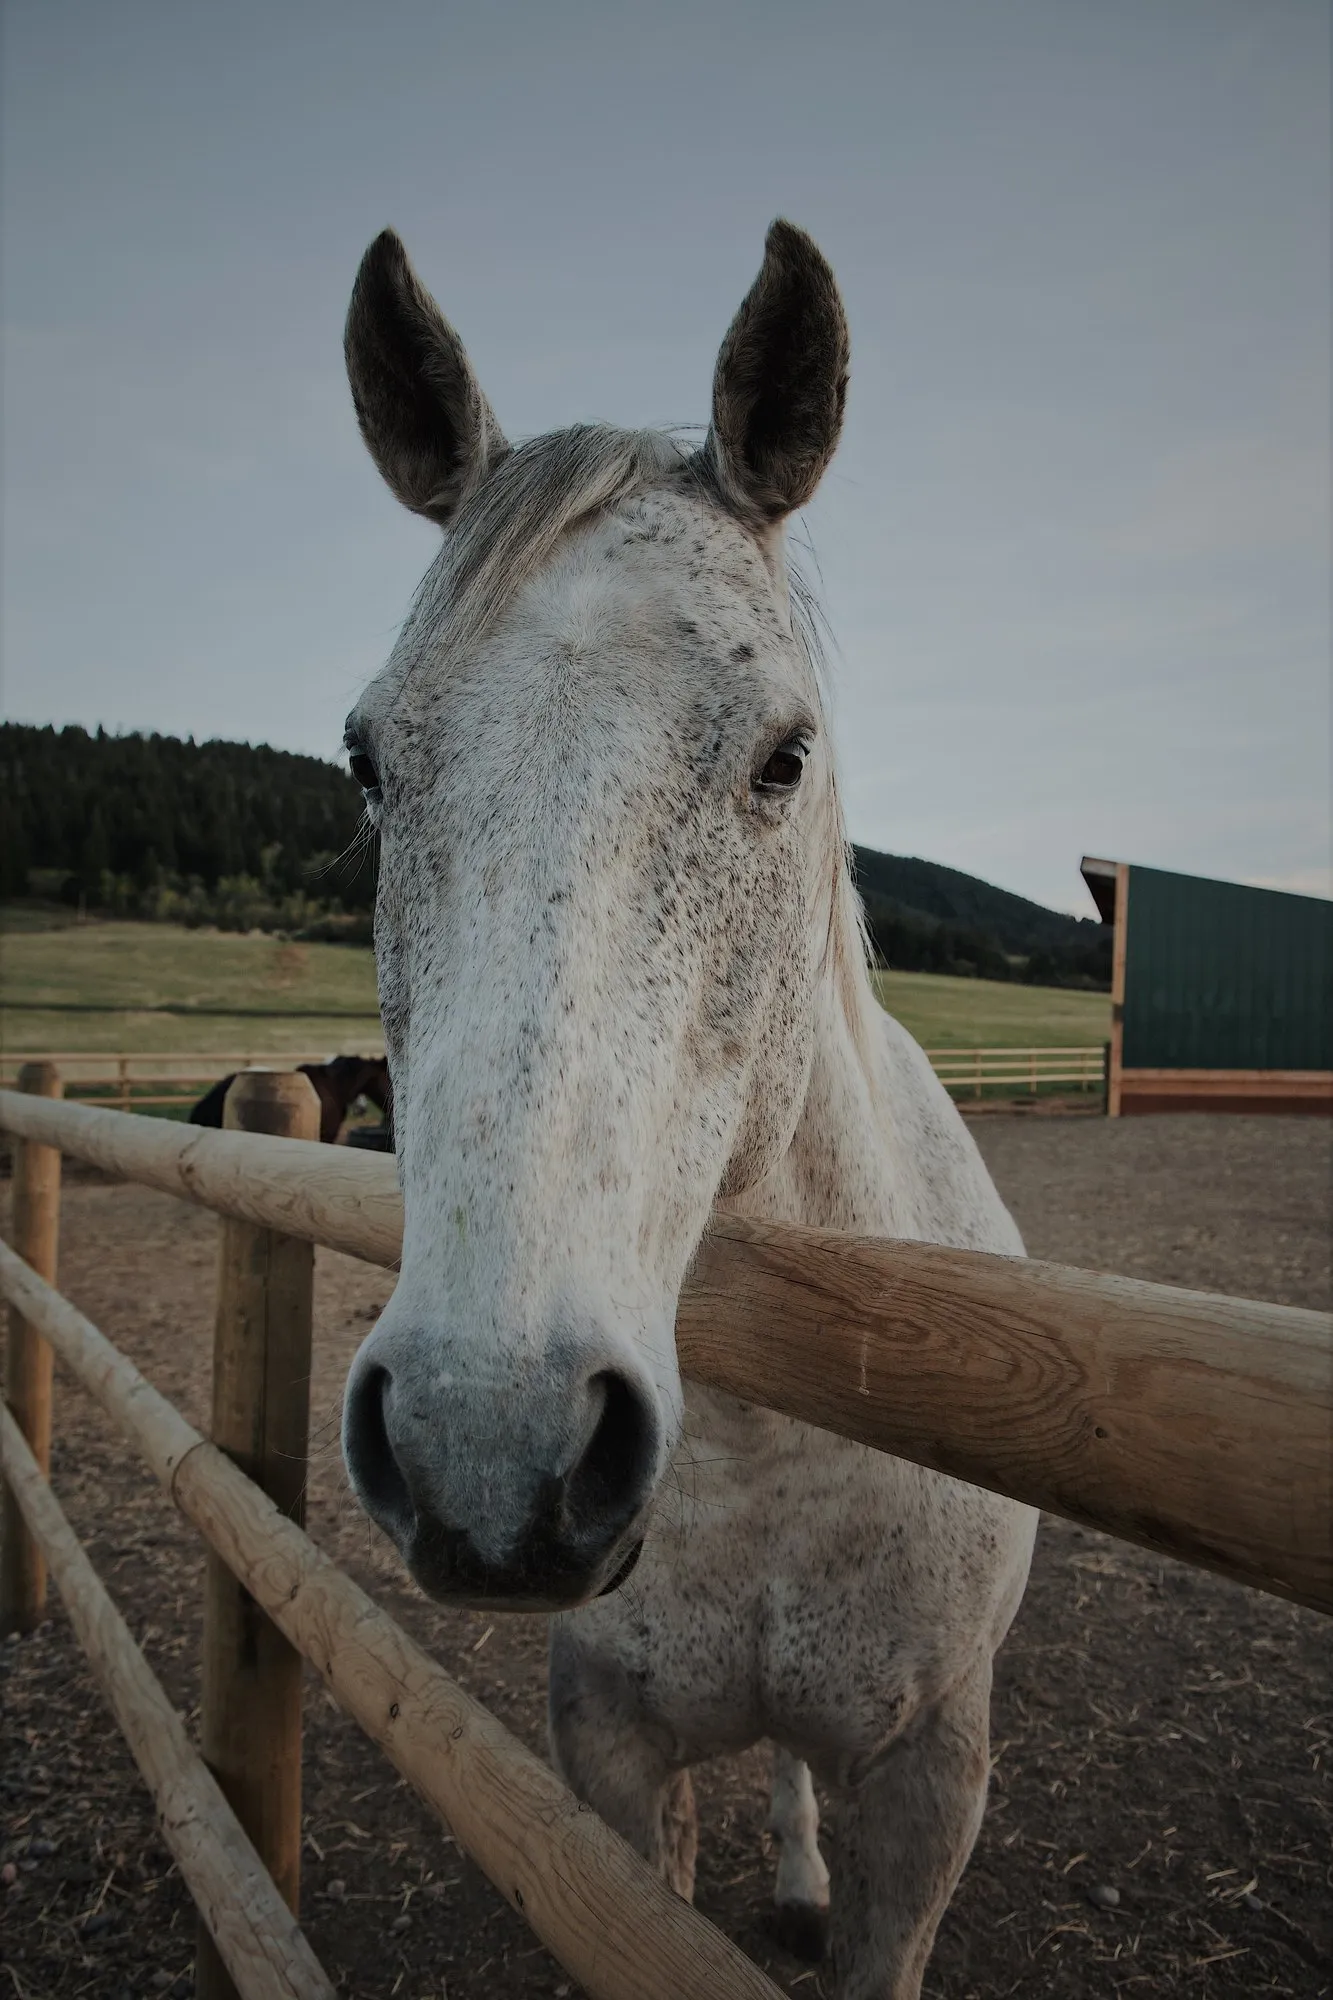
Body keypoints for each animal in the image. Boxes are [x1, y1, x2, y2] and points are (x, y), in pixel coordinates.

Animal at [338, 220, 1037, 1999]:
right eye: (369, 763)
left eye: (785, 757)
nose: (489, 1448)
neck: (767, 1444)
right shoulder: (606, 1751)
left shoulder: (931, 1779)